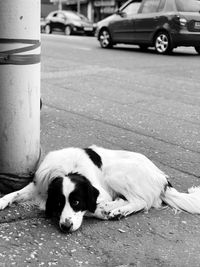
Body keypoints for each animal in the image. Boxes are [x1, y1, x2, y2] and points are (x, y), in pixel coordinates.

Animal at [0, 146, 200, 233]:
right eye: (58, 202)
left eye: (77, 202)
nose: (65, 227)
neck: (68, 169)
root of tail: (162, 178)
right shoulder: (38, 184)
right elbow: (14, 193)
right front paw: (2, 201)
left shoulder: (100, 194)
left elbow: (92, 208)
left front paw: (105, 210)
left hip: (115, 173)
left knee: (141, 202)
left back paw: (119, 210)